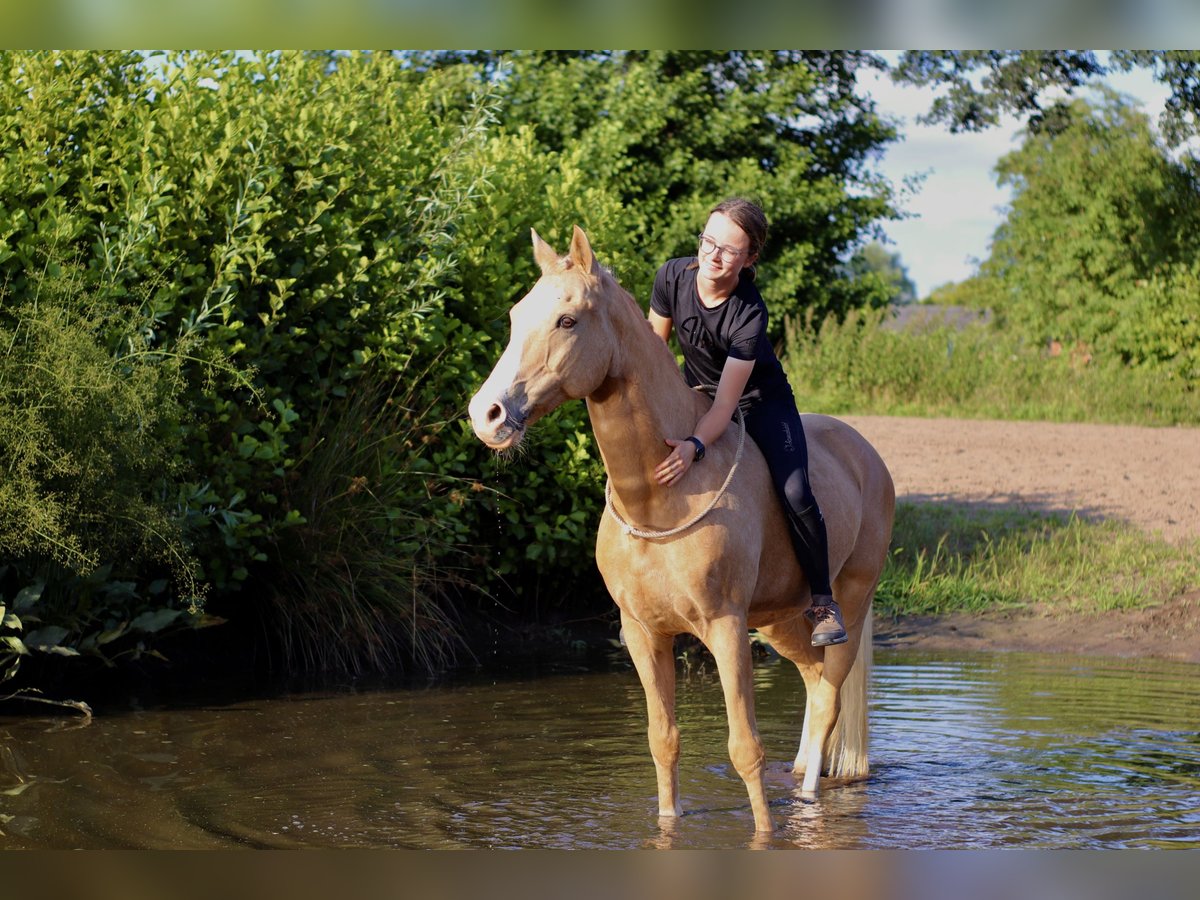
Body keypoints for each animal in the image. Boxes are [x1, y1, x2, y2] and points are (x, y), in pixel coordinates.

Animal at [465, 225, 892, 830]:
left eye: (567, 320)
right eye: (515, 314)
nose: (488, 415)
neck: (658, 499)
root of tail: (868, 456)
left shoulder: (726, 629)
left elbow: (744, 747)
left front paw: (765, 833)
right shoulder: (645, 634)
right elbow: (662, 740)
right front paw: (669, 826)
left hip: (847, 606)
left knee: (830, 693)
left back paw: (809, 803)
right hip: (781, 620)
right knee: (813, 685)